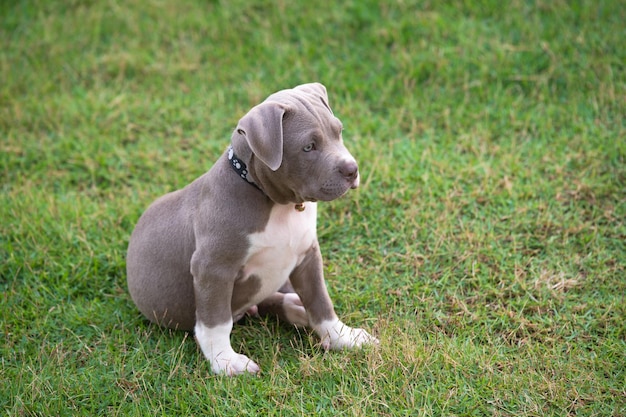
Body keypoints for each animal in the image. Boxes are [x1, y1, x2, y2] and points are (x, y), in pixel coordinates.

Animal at [127, 82, 376, 374]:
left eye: (339, 132)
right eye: (308, 147)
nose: (352, 169)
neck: (278, 205)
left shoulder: (307, 256)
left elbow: (320, 301)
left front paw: (342, 337)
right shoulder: (212, 268)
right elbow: (216, 321)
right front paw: (225, 361)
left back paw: (295, 308)